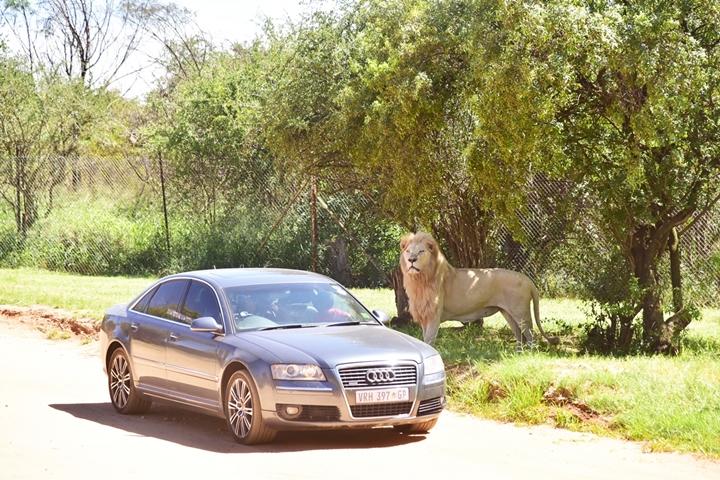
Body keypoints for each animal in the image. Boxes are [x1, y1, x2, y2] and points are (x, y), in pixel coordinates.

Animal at [399, 232, 560, 349]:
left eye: (421, 251)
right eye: (408, 251)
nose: (411, 260)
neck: (420, 280)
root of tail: (527, 279)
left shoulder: (434, 316)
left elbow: (428, 341)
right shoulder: (425, 316)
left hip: (521, 313)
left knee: (532, 336)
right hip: (508, 313)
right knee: (520, 337)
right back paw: (518, 356)